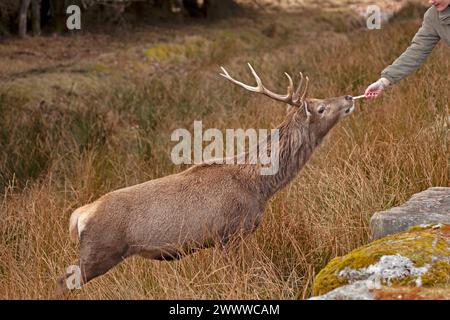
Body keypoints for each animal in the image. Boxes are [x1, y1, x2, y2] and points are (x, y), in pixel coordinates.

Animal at [56, 63, 356, 296]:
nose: (349, 96)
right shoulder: (229, 232)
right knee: (62, 281)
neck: (260, 186)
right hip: (98, 251)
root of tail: (79, 215)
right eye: (320, 108)